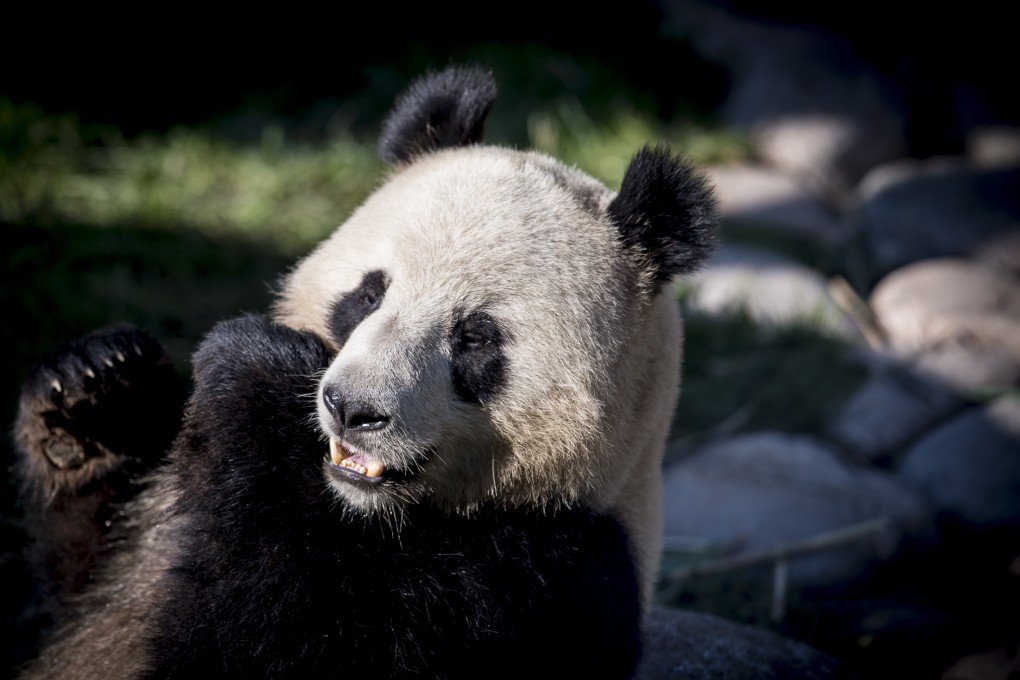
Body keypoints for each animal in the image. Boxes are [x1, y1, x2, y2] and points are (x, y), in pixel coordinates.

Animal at [13, 65, 717, 679]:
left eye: (475, 338)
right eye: (369, 294)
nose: (352, 409)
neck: (365, 509)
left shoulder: (544, 582)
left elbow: (272, 636)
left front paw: (254, 373)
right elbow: (75, 589)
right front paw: (97, 394)